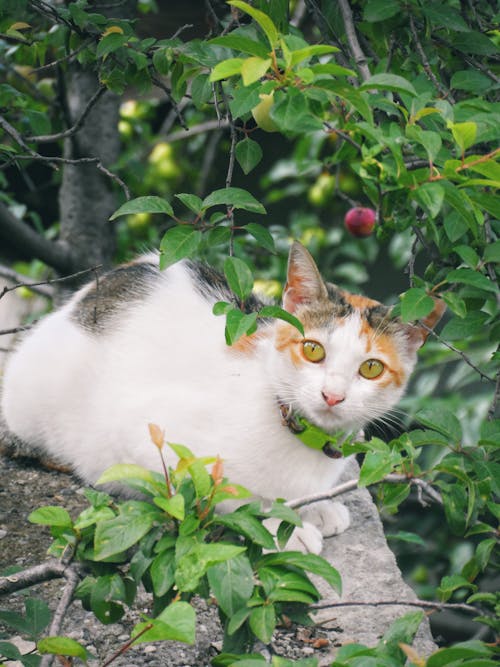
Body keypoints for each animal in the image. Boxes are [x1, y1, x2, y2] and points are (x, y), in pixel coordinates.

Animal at [0, 243, 446, 556]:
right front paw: (280, 525)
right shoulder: (141, 436)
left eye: (370, 368)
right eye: (313, 350)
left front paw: (313, 508)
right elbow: (219, 493)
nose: (332, 395)